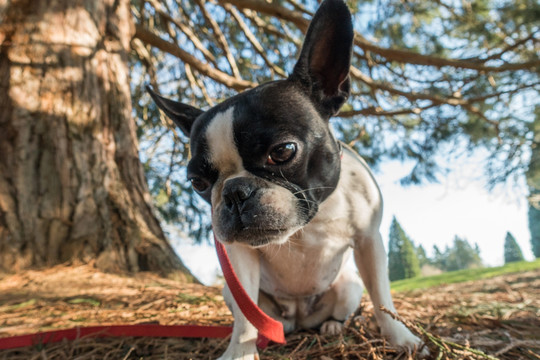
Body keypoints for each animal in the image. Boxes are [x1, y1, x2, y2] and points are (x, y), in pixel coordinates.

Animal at [148, 0, 426, 358]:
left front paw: (400, 338)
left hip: (349, 285)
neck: (310, 220)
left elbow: (381, 297)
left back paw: (333, 326)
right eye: (198, 182)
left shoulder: (369, 241)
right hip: (230, 291)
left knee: (342, 310)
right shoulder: (239, 261)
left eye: (282, 151)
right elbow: (245, 318)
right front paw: (239, 352)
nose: (234, 192)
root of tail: (298, 318)